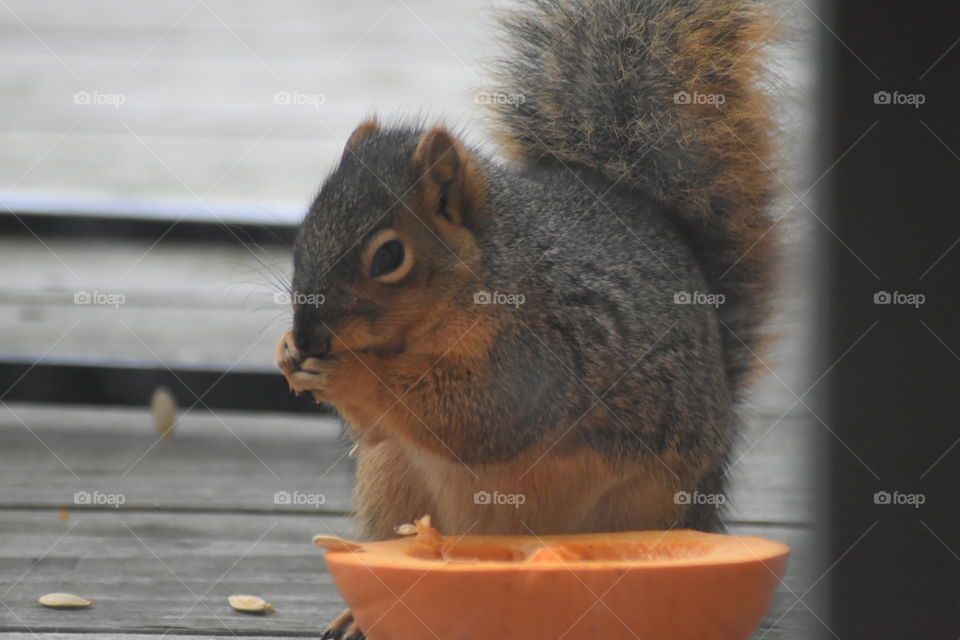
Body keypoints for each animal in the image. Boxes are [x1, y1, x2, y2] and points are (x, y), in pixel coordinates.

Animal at [276, 0, 776, 636]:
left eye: (389, 256)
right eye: (305, 226)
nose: (309, 334)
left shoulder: (545, 347)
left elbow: (482, 416)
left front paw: (352, 375)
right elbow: (377, 428)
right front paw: (288, 354)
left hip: (660, 500)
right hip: (392, 482)